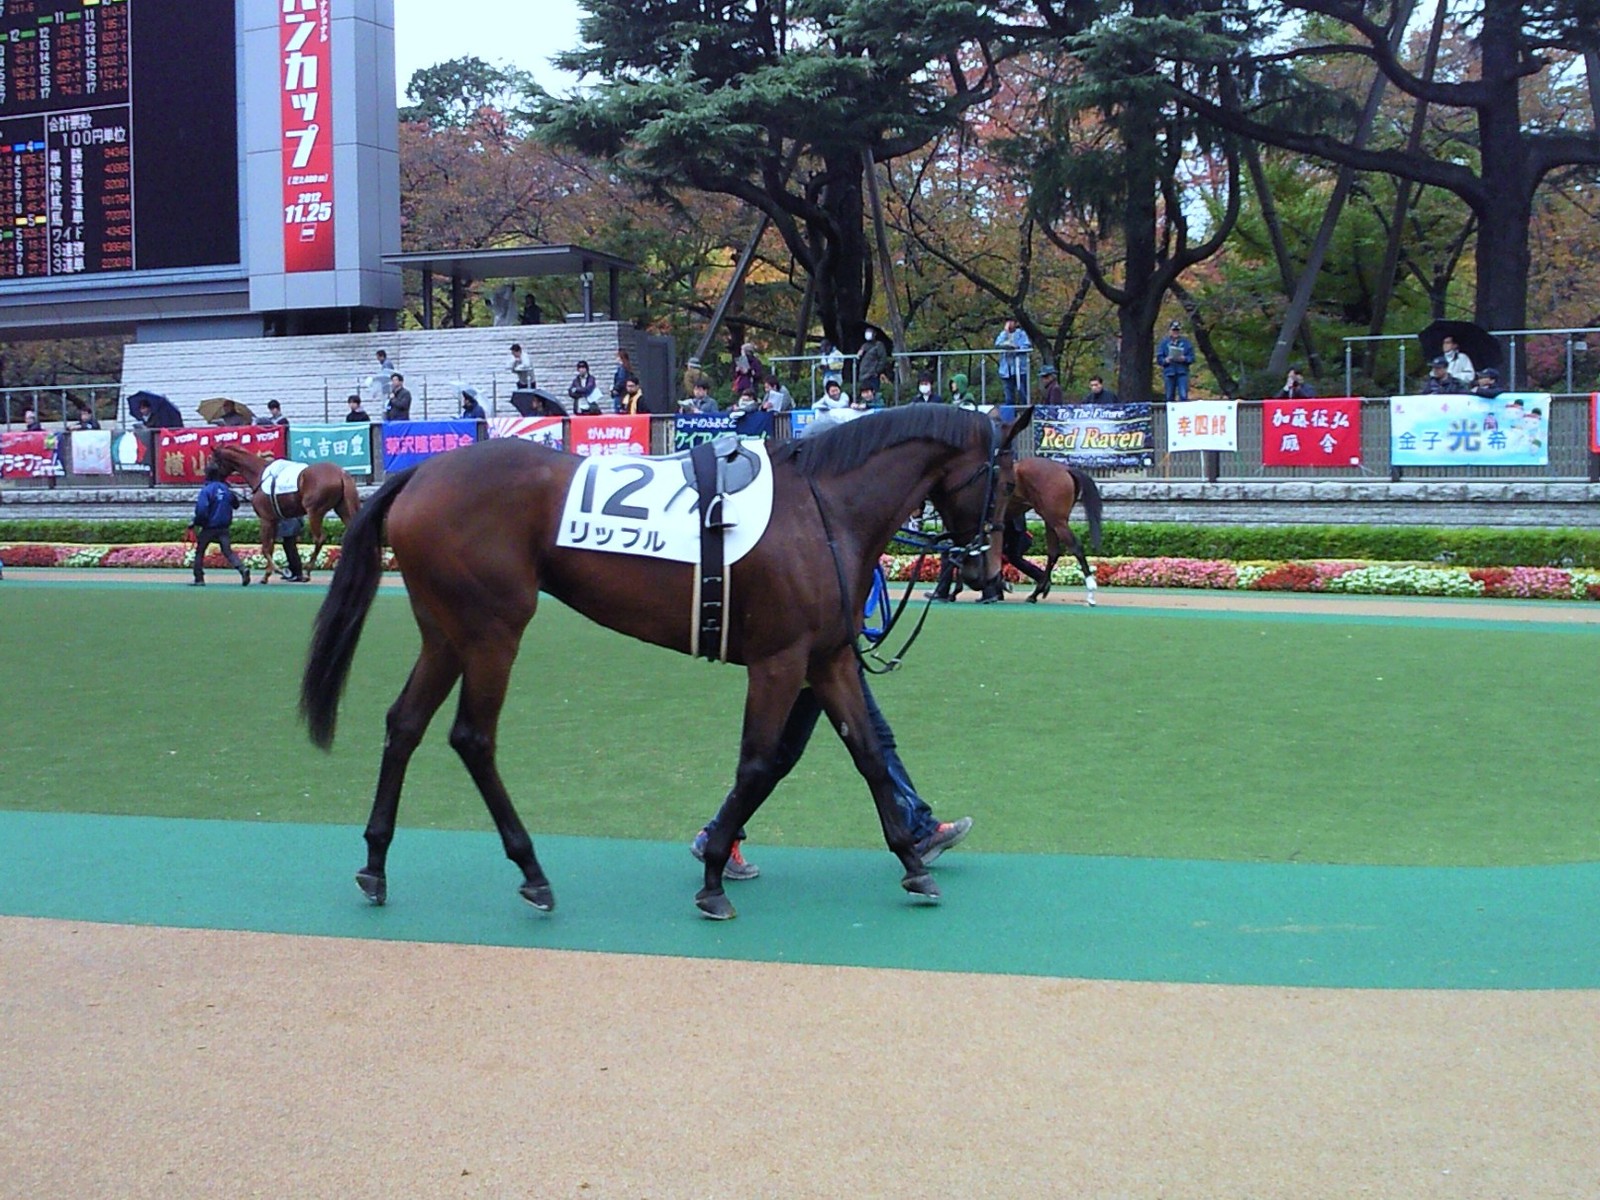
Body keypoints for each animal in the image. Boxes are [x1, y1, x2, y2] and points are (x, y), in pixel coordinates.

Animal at [212, 443, 362, 584]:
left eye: (211, 458)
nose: (209, 476)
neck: (259, 475)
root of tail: (341, 474)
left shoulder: (265, 519)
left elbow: (265, 548)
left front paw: (277, 570)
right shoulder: (274, 520)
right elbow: (271, 546)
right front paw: (267, 575)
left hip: (314, 511)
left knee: (319, 538)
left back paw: (307, 572)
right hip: (343, 509)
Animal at [299, 404, 1031, 920]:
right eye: (1003, 485)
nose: (985, 570)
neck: (822, 510)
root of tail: (420, 472)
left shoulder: (826, 659)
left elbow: (869, 753)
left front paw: (914, 858)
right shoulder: (779, 660)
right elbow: (759, 762)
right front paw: (712, 878)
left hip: (446, 633)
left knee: (404, 725)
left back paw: (376, 863)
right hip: (491, 632)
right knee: (472, 737)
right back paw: (532, 872)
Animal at [1002, 456, 1104, 604]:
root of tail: (1066, 468)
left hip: (1057, 521)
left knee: (1075, 547)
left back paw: (1090, 591)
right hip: (1050, 521)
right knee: (1053, 552)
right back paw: (1036, 593)